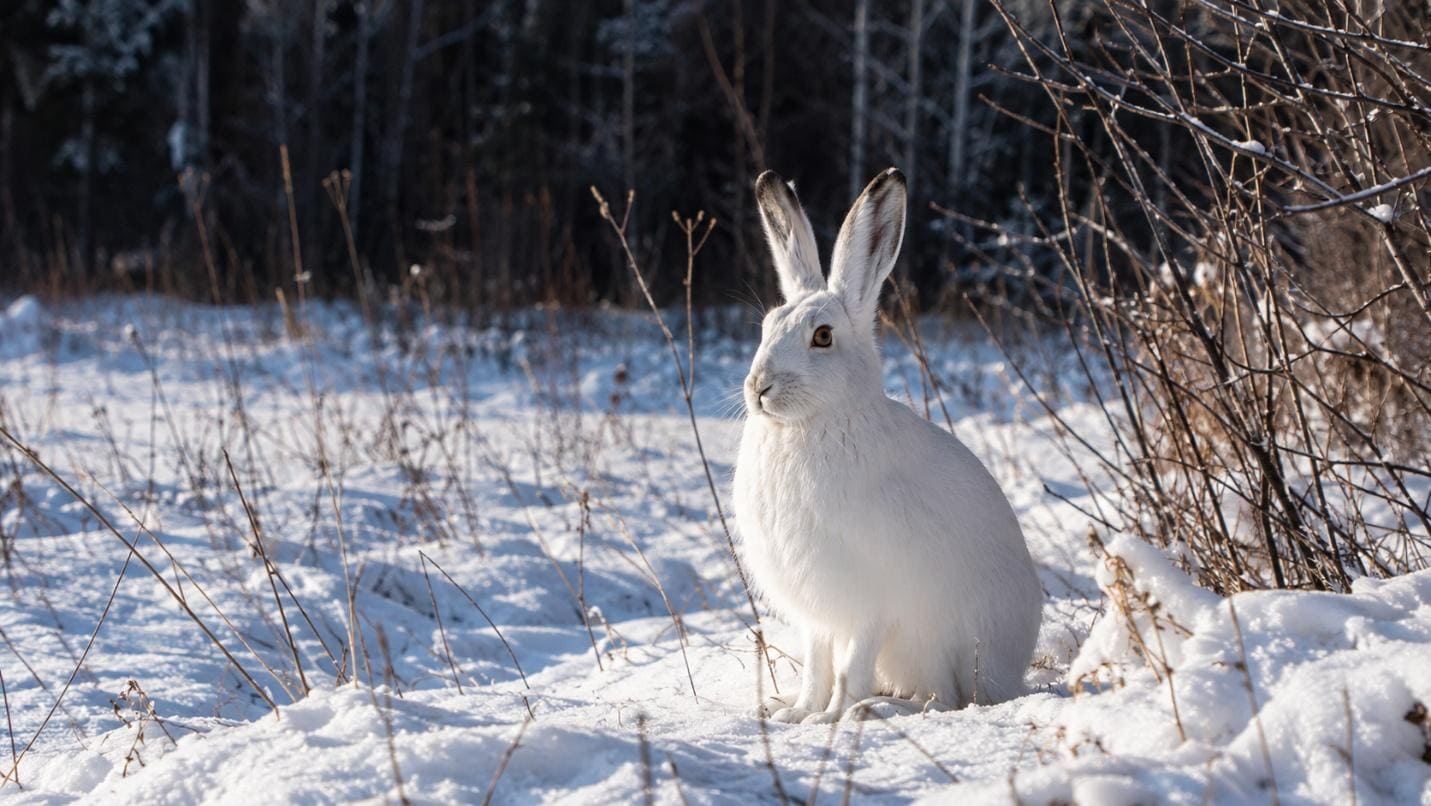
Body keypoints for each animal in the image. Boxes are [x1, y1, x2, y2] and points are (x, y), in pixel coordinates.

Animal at [732, 168, 1043, 724]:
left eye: (823, 337)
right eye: (767, 327)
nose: (759, 387)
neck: (811, 423)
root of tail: (1011, 676)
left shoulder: (870, 606)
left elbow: (850, 668)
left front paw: (830, 718)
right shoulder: (818, 614)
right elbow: (817, 665)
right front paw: (799, 714)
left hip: (944, 643)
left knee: (944, 699)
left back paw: (876, 708)